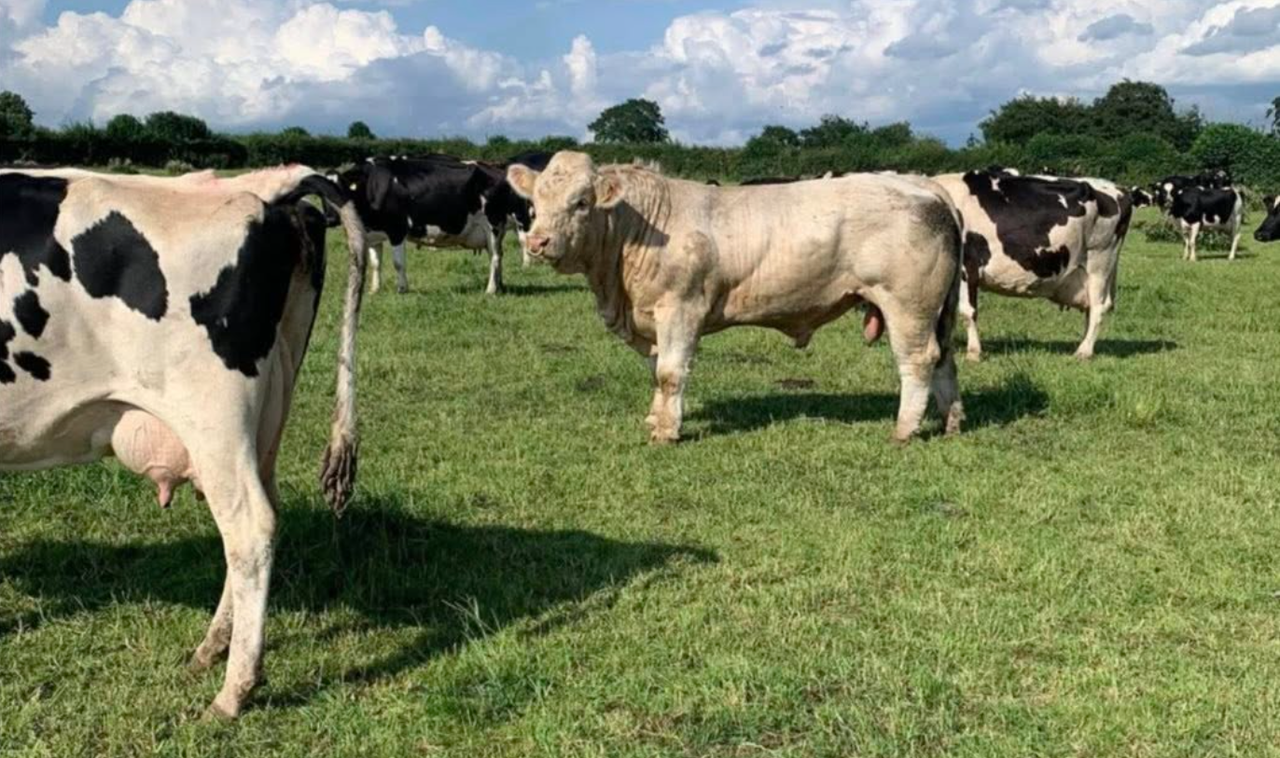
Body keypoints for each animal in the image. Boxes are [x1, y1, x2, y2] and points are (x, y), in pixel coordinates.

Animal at [0, 165, 368, 719]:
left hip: (215, 418)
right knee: (260, 516)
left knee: (250, 526)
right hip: (267, 416)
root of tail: (269, 187)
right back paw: (212, 649)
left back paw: (234, 689)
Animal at [337, 155, 518, 295]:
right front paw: (374, 290)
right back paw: (500, 287)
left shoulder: (397, 229)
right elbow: (376, 263)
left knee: (495, 257)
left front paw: (402, 289)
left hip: (493, 225)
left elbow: (398, 263)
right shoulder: (373, 233)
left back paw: (490, 290)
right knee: (498, 256)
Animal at [507, 152, 964, 444]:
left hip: (908, 305)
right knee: (945, 359)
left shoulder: (680, 309)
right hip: (936, 311)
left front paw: (667, 432)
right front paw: (655, 419)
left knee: (918, 361)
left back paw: (903, 430)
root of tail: (922, 184)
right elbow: (656, 371)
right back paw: (952, 422)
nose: (538, 242)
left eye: (581, 202)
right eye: (534, 202)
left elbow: (670, 373)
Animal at [933, 168, 1132, 361]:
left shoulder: (967, 268)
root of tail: (1118, 189)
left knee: (1098, 308)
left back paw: (1083, 352)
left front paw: (973, 353)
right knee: (1091, 308)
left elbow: (968, 311)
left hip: (1099, 262)